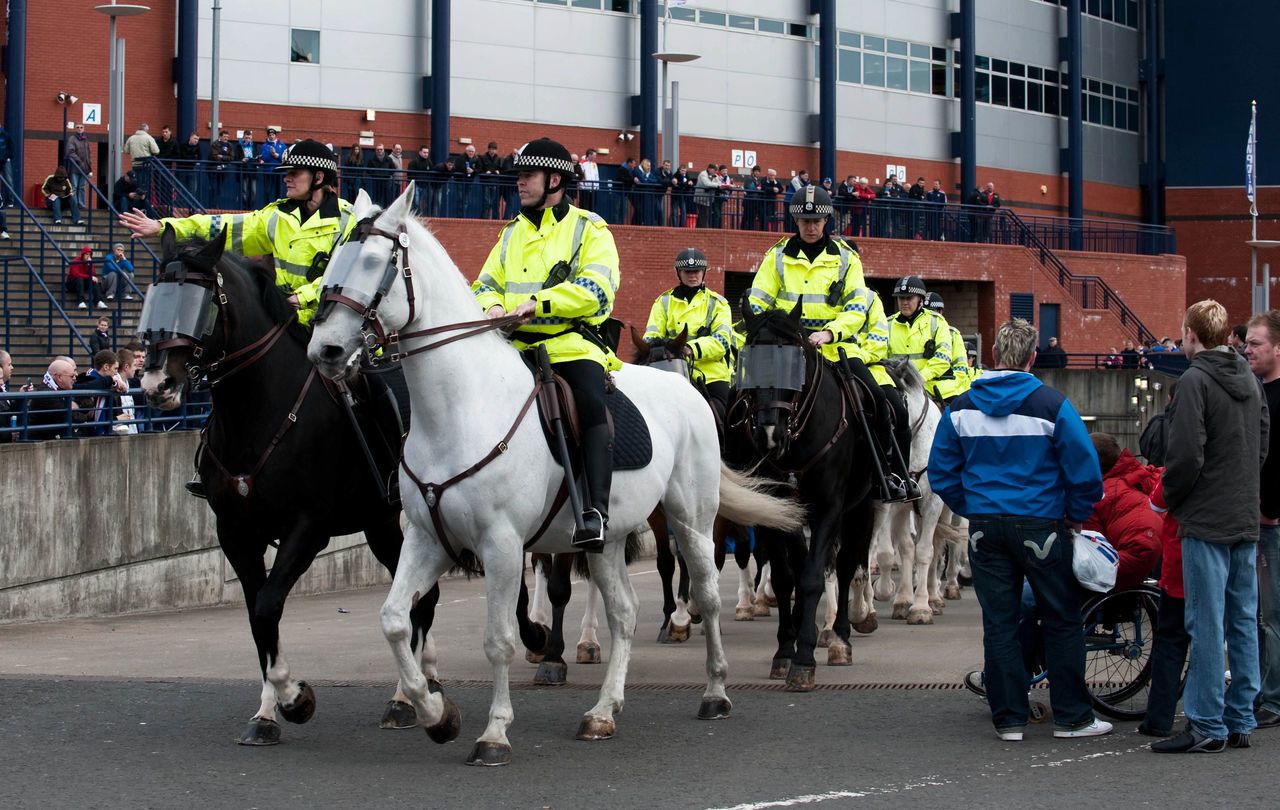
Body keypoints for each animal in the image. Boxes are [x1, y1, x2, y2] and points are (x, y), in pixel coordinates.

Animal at [140, 229, 440, 747]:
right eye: (158, 296)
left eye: (201, 301)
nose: (157, 384)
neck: (261, 411)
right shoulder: (236, 534)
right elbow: (259, 617)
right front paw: (267, 713)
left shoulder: (307, 528)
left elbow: (267, 606)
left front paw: (295, 699)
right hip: (379, 523)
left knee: (421, 602)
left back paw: (405, 698)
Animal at [304, 186, 798, 767]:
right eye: (332, 259)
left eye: (374, 261)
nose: (326, 350)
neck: (462, 409)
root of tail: (688, 390)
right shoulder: (427, 540)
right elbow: (394, 619)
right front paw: (435, 714)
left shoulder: (500, 545)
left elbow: (498, 639)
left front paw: (493, 733)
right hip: (606, 540)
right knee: (624, 613)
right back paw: (603, 712)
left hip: (691, 520)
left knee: (707, 593)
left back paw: (715, 691)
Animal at [727, 303, 875, 690]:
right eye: (748, 361)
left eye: (795, 363)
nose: (768, 433)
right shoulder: (774, 508)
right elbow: (785, 577)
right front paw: (784, 650)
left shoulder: (829, 508)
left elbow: (811, 579)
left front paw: (805, 658)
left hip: (862, 508)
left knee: (846, 565)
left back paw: (840, 639)